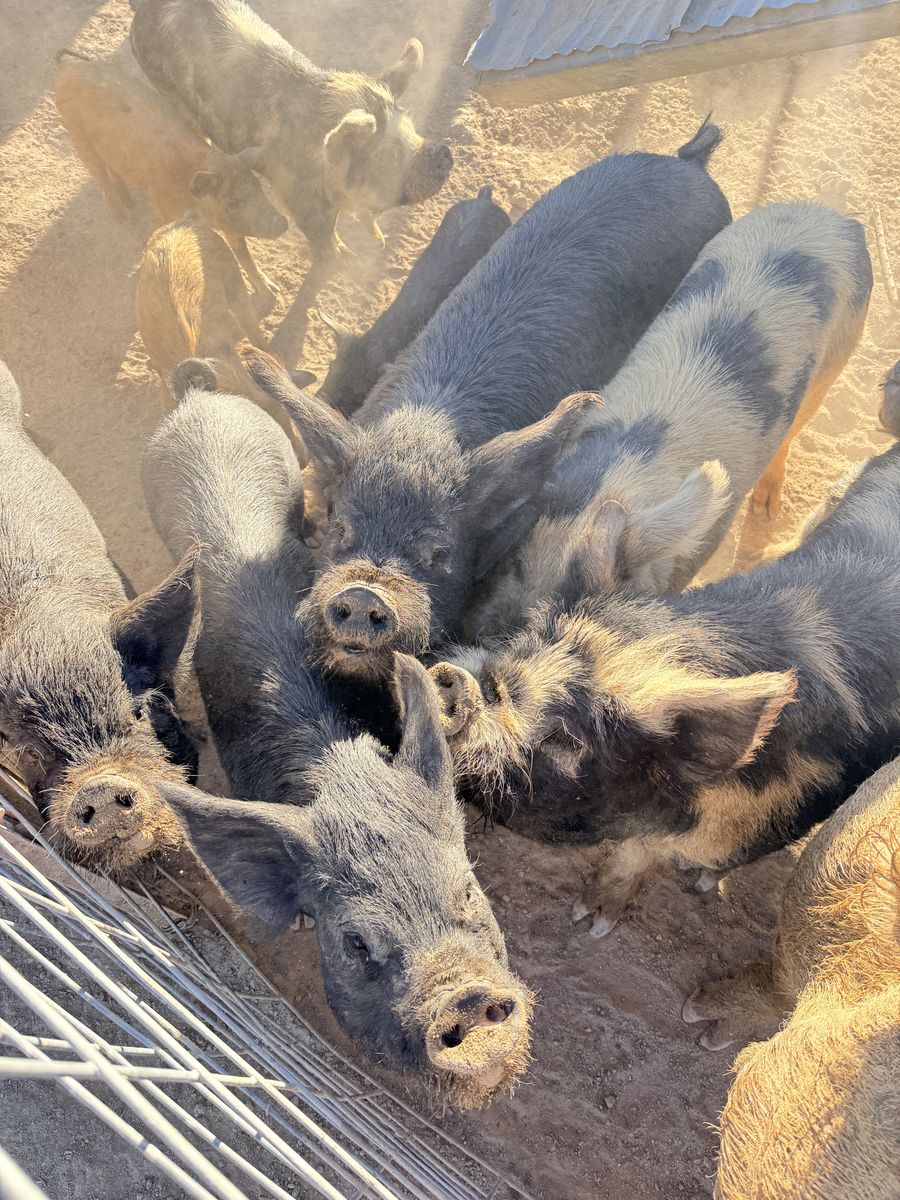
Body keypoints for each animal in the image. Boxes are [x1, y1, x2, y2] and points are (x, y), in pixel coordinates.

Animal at [54, 49, 287, 304]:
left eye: (257, 187)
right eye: (232, 202)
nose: (282, 222)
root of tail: (67, 68)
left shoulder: (231, 224)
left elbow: (242, 252)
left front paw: (272, 291)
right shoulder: (165, 209)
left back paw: (129, 204)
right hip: (78, 138)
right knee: (101, 178)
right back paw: (122, 217)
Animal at [129, 0, 454, 359]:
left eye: (413, 129)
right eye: (390, 155)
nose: (443, 153)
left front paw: (349, 253)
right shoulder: (301, 205)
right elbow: (322, 256)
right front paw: (335, 262)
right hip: (167, 91)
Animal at [474, 202, 872, 637]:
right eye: (511, 564)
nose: (481, 633)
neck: (617, 479)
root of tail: (833, 217)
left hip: (840, 352)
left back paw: (766, 508)